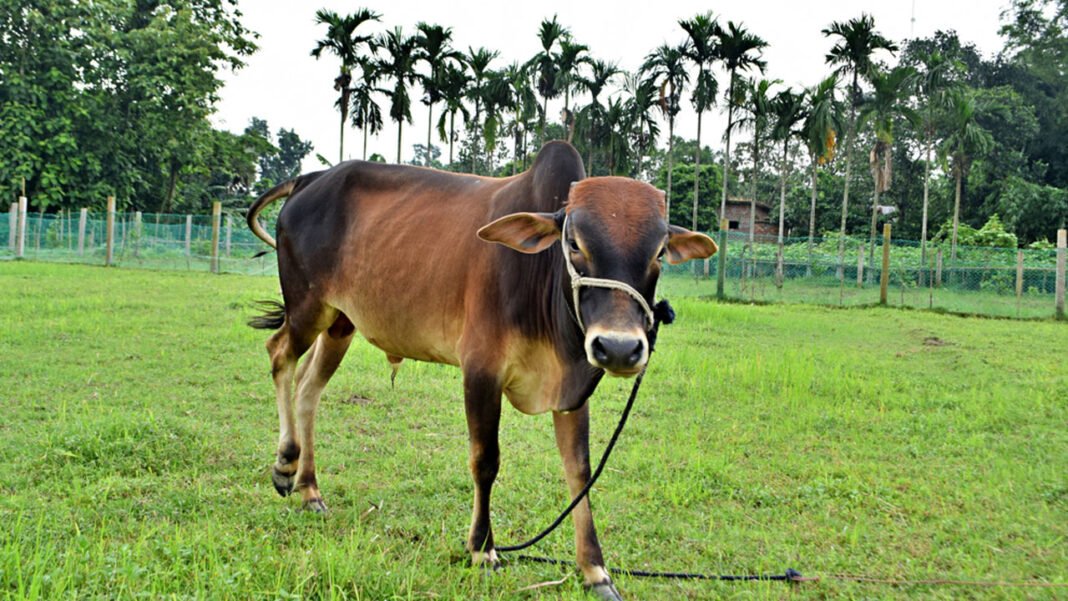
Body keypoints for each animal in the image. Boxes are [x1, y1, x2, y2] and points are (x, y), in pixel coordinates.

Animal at [246, 141, 717, 600]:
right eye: (575, 244)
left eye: (659, 252)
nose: (618, 347)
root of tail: (311, 178)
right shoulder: (480, 370)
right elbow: (485, 460)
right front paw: (482, 548)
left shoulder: (571, 389)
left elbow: (579, 471)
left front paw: (595, 571)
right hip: (307, 307)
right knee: (279, 355)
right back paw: (285, 465)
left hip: (341, 322)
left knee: (308, 387)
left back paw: (309, 488)